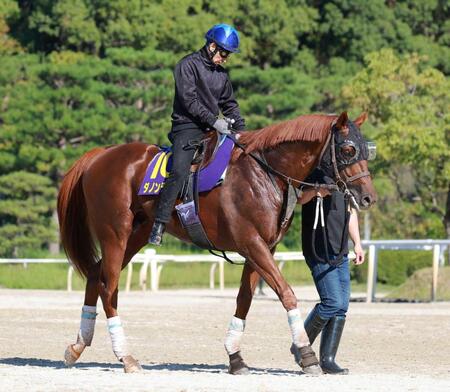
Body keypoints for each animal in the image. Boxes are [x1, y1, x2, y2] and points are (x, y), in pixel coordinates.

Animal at [58, 109, 378, 374]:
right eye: (348, 149)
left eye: (366, 150)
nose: (368, 198)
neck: (262, 173)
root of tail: (100, 155)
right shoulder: (252, 243)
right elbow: (286, 293)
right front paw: (307, 355)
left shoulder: (262, 248)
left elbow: (244, 299)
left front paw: (235, 357)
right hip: (115, 234)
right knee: (108, 286)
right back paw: (126, 356)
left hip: (135, 235)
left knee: (96, 274)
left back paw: (78, 346)